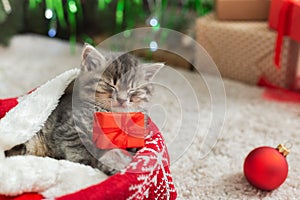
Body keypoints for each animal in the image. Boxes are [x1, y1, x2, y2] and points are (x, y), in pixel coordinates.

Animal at [4, 44, 163, 175]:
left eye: (133, 90)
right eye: (110, 85)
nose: (122, 100)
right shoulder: (70, 129)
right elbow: (80, 147)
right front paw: (86, 164)